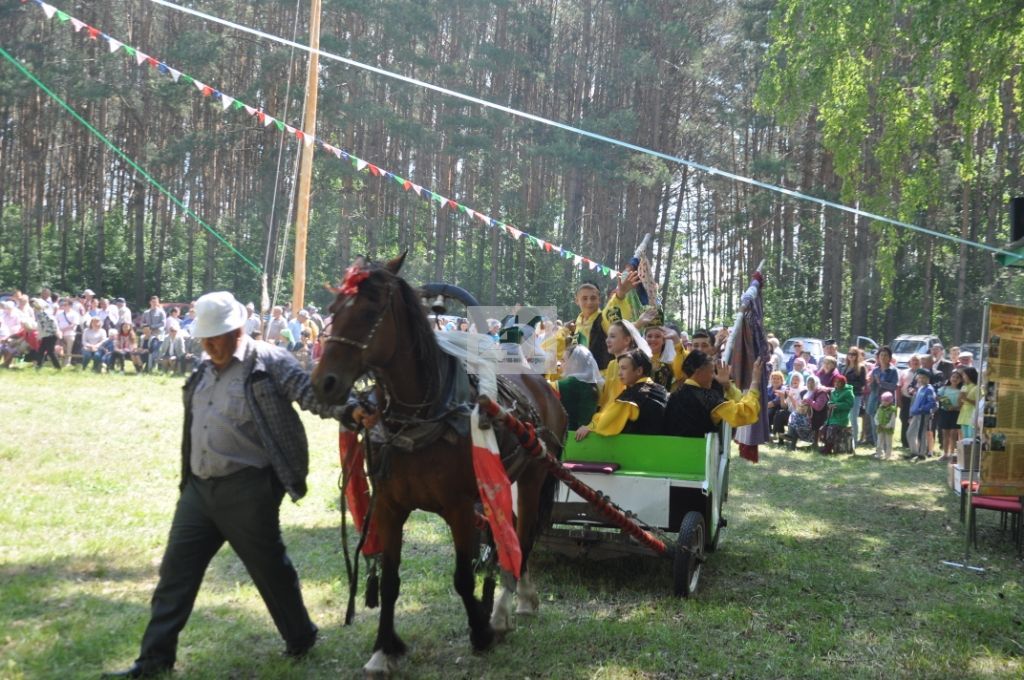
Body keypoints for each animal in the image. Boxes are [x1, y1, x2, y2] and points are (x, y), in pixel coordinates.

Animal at [311, 255, 569, 675]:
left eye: (368, 311)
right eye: (333, 310)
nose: (323, 383)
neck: (425, 414)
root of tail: (543, 384)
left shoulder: (460, 507)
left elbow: (463, 577)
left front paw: (480, 632)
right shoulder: (389, 506)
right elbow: (390, 581)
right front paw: (384, 649)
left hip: (533, 479)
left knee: (522, 538)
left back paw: (505, 608)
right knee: (512, 537)